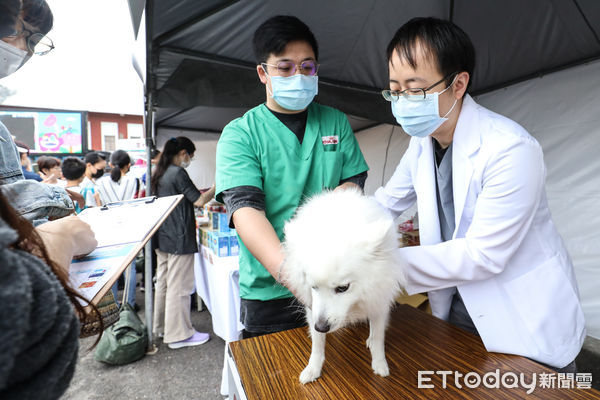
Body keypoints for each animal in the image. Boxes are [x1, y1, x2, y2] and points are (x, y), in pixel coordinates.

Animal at [282, 189, 404, 382]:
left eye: (343, 288)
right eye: (313, 287)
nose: (321, 326)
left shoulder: (378, 300)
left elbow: (378, 337)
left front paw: (379, 363)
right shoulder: (313, 308)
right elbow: (317, 344)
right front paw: (313, 368)